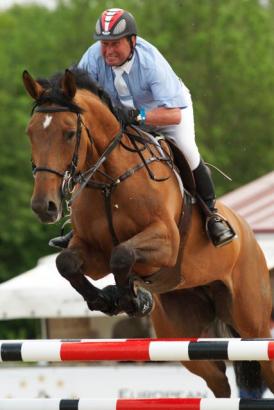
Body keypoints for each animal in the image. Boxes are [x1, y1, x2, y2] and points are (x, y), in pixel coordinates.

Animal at [23, 67, 274, 398]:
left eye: (69, 133)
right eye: (31, 133)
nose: (45, 206)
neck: (109, 182)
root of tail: (249, 234)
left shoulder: (165, 243)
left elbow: (122, 254)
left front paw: (130, 299)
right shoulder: (92, 251)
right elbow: (67, 263)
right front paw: (107, 299)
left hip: (253, 323)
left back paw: (218, 229)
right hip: (185, 338)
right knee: (218, 381)